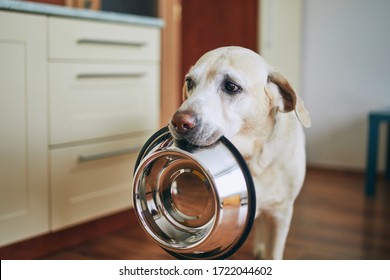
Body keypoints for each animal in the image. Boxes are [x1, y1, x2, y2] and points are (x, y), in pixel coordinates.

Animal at [168, 46, 310, 260]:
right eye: (190, 82)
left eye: (231, 86)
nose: (178, 122)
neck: (253, 158)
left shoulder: (281, 214)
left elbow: (274, 252)